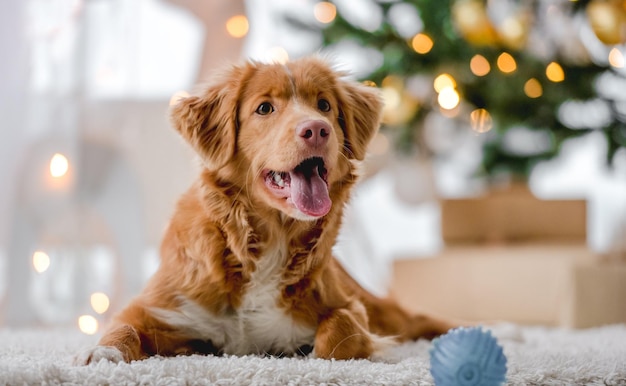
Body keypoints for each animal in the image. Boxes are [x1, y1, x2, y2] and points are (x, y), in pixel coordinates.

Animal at [78, 57, 450, 364]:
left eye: (324, 105)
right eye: (265, 108)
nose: (317, 129)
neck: (269, 239)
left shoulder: (349, 305)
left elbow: (339, 333)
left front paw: (311, 349)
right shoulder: (155, 307)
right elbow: (122, 327)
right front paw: (103, 353)